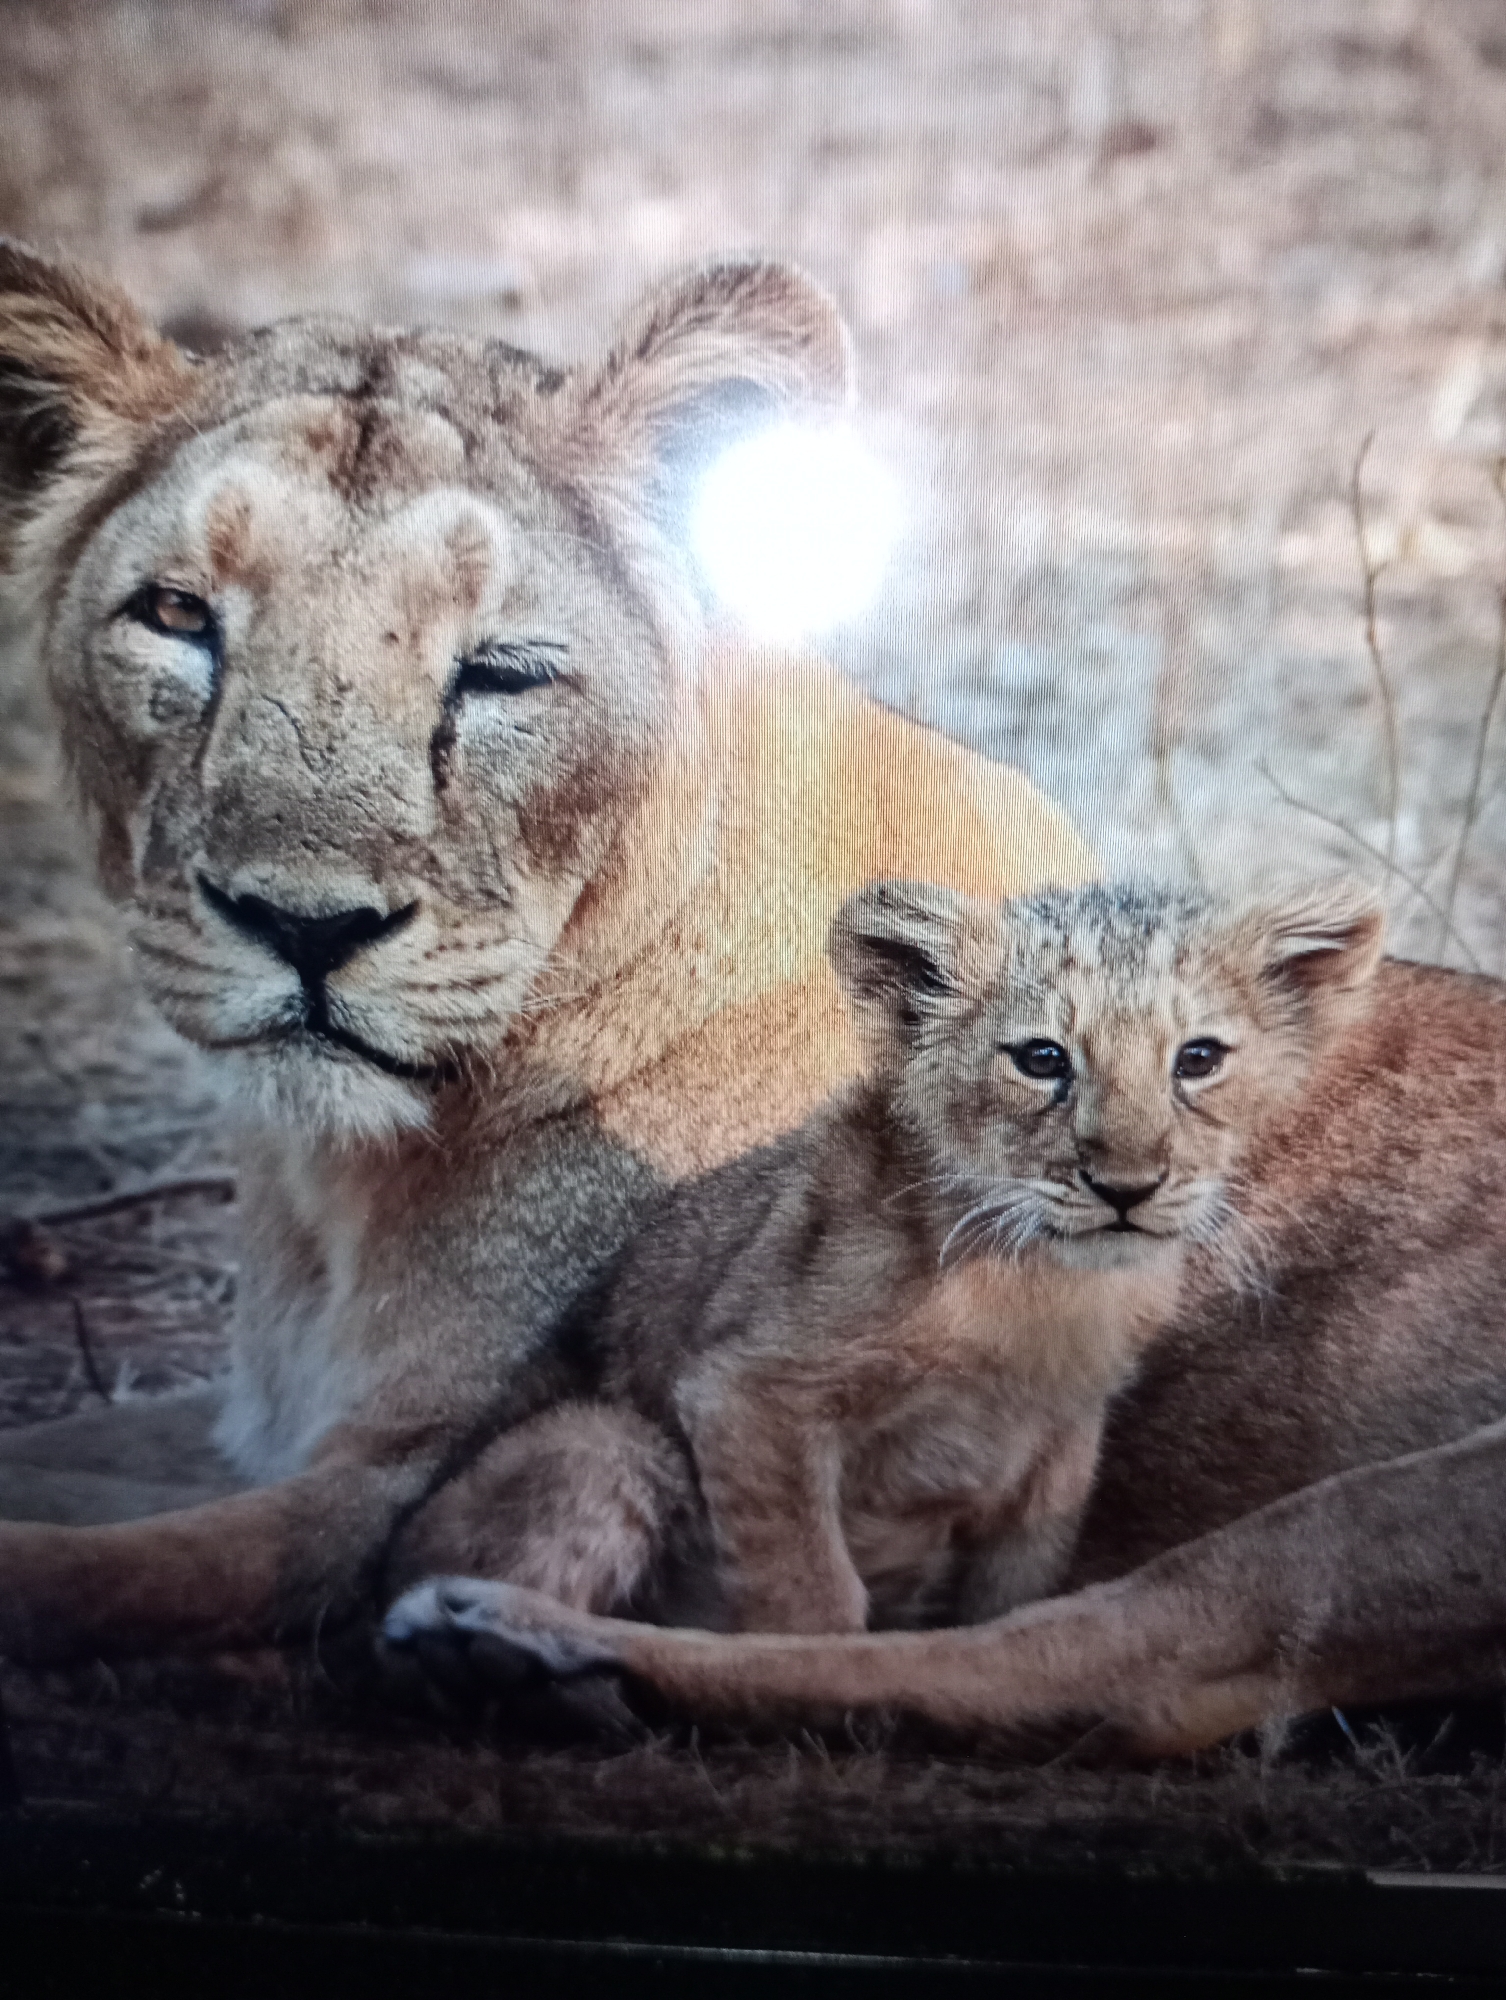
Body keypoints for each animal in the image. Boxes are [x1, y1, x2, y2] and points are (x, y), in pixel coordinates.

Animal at [0, 240, 1093, 1663]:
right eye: (178, 613)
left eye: (504, 670)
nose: (304, 924)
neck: (334, 1187)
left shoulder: (382, 1478)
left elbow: (83, 1566)